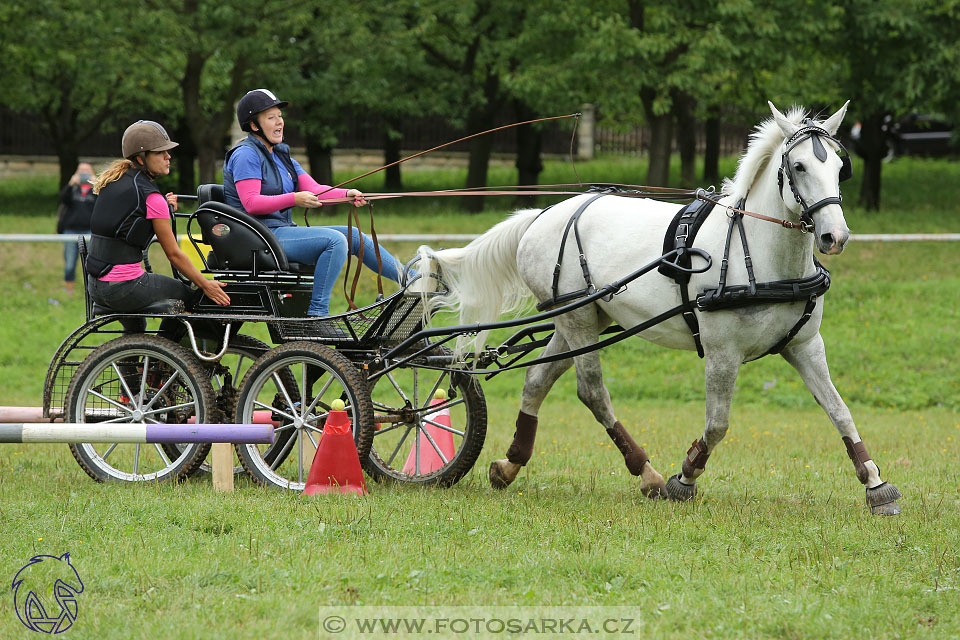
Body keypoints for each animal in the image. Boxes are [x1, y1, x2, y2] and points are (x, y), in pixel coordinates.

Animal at [418, 102, 900, 516]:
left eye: (839, 167)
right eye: (798, 167)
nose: (835, 237)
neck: (759, 255)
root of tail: (542, 215)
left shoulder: (805, 346)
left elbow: (839, 410)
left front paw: (875, 484)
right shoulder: (722, 353)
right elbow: (717, 424)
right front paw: (683, 479)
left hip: (580, 318)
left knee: (538, 380)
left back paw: (510, 464)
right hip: (577, 319)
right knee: (592, 391)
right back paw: (646, 472)